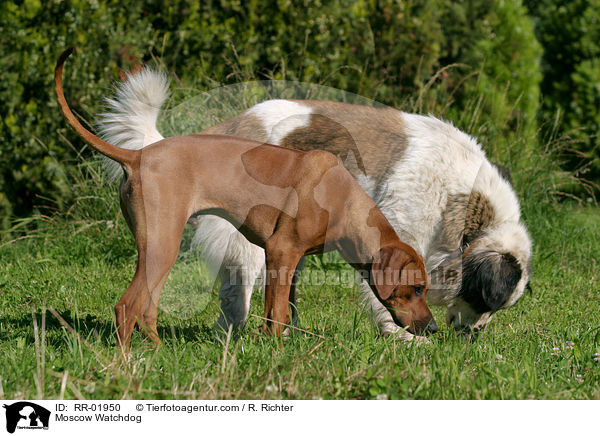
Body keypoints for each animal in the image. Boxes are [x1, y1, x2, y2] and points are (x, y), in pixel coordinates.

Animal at [54, 48, 436, 348]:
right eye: (417, 288)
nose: (433, 328)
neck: (342, 199)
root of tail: (137, 156)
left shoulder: (283, 259)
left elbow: (276, 313)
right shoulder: (283, 250)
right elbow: (278, 313)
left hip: (157, 250)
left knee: (147, 309)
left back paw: (160, 351)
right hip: (163, 246)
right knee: (126, 307)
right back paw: (126, 362)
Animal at [99, 67, 536, 340]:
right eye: (484, 300)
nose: (474, 338)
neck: (460, 200)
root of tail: (232, 124)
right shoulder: (396, 235)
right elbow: (390, 300)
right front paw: (406, 340)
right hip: (250, 242)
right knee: (236, 292)